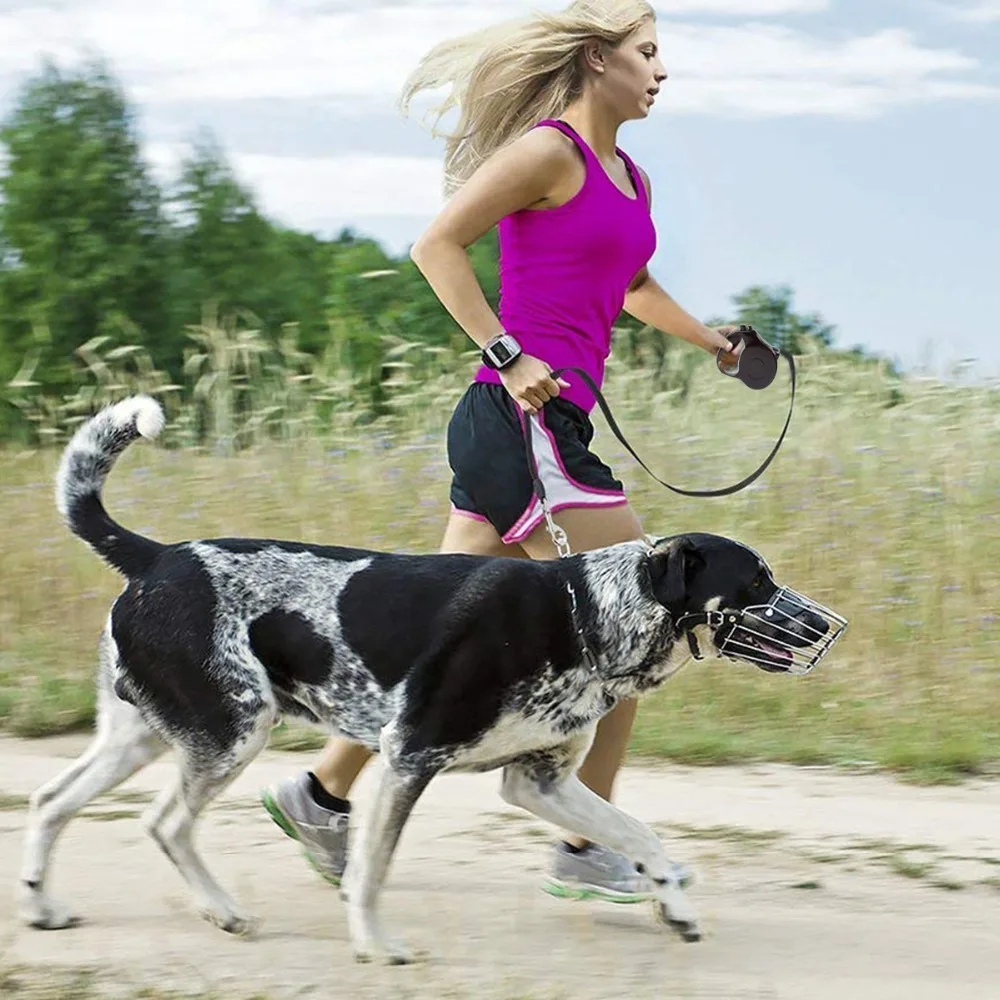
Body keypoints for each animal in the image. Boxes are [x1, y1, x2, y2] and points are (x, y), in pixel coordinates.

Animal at [17, 394, 844, 964]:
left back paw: (42, 906)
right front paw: (375, 945)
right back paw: (224, 910)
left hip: (141, 736)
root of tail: (156, 556)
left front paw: (672, 903)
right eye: (755, 582)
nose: (825, 630)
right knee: (165, 823)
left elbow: (640, 833)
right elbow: (371, 870)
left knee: (51, 800)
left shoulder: (538, 782)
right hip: (232, 732)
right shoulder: (411, 756)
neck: (585, 611)